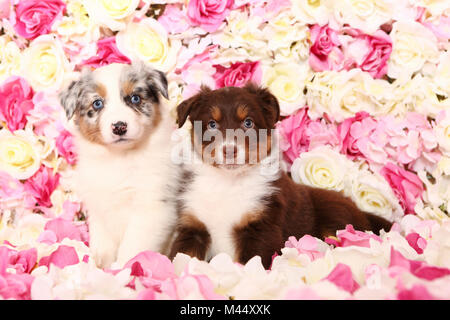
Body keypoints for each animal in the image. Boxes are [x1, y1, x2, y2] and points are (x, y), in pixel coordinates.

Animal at [169, 82, 390, 268]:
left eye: (248, 123)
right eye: (212, 125)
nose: (229, 150)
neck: (227, 182)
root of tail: (360, 211)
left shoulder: (262, 229)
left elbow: (249, 266)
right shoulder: (193, 227)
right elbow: (181, 259)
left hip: (336, 220)